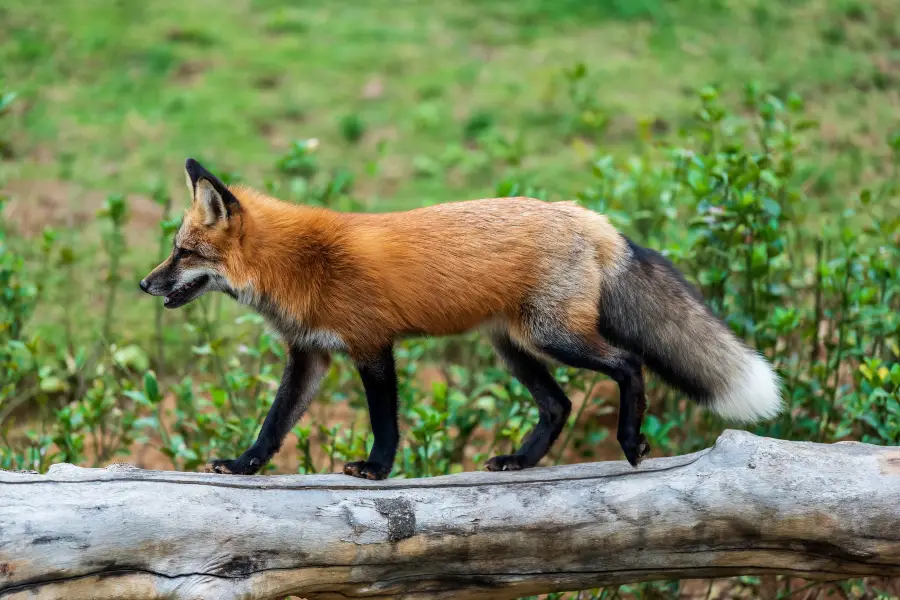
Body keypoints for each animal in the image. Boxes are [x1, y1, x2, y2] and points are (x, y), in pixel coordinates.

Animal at [139, 157, 780, 480]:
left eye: (183, 253)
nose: (145, 284)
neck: (300, 262)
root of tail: (585, 215)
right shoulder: (311, 355)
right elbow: (273, 425)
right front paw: (243, 465)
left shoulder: (372, 346)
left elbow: (385, 423)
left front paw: (377, 470)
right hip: (514, 347)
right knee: (559, 405)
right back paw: (521, 461)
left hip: (555, 336)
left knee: (628, 364)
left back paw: (628, 440)